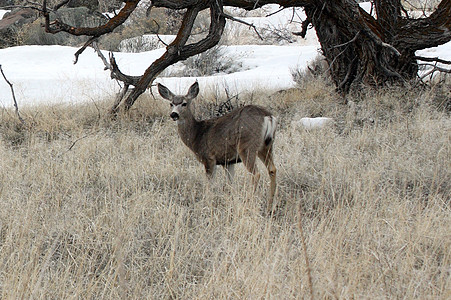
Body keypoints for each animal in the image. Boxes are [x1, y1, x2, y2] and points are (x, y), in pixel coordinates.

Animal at [157, 82, 278, 213]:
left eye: (184, 103)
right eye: (171, 103)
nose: (174, 114)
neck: (197, 135)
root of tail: (268, 117)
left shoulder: (209, 158)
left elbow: (209, 184)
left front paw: (208, 204)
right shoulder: (228, 161)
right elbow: (230, 183)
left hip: (247, 146)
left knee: (256, 174)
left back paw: (249, 202)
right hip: (267, 145)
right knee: (272, 169)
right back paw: (270, 207)